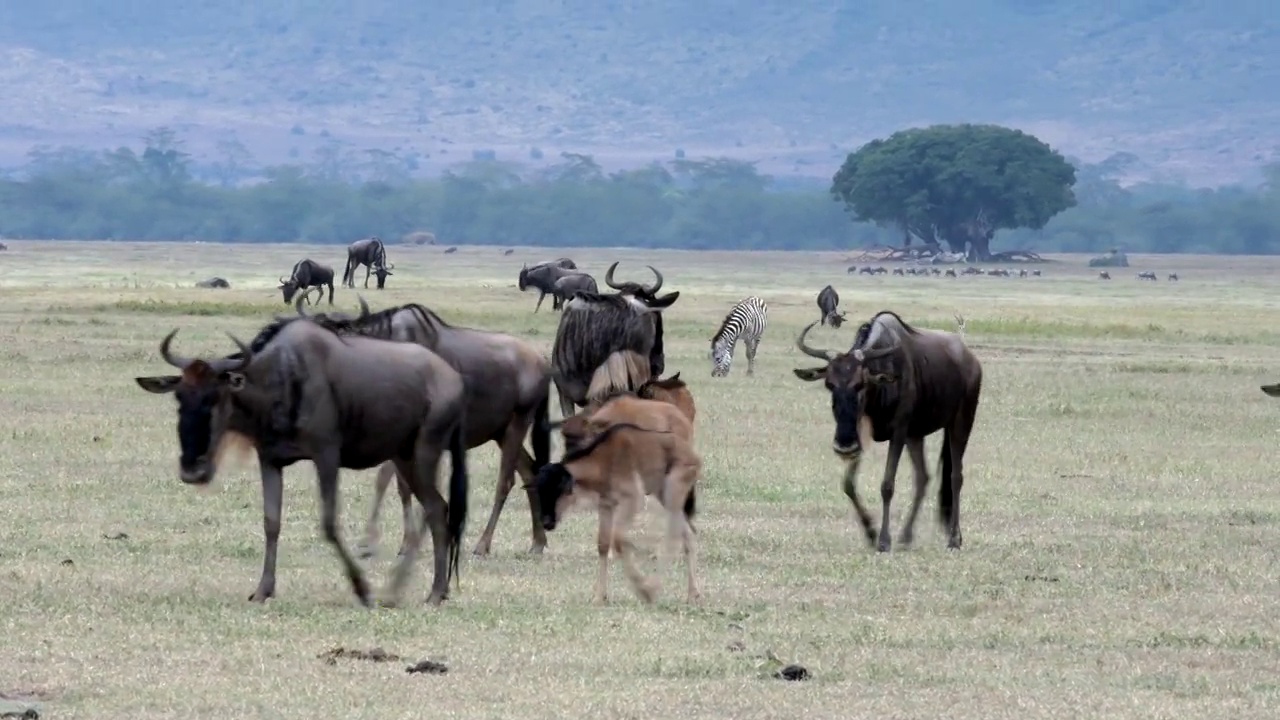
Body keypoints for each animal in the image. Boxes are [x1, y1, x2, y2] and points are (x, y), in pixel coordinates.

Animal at [535, 394, 706, 602]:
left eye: (557, 489)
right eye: (540, 491)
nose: (546, 522)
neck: (602, 461)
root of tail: (693, 456)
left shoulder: (632, 500)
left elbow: (618, 540)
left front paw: (641, 588)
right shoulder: (606, 505)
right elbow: (603, 544)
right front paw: (599, 597)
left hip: (673, 492)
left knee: (675, 536)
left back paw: (654, 589)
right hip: (666, 497)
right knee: (687, 533)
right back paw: (692, 594)